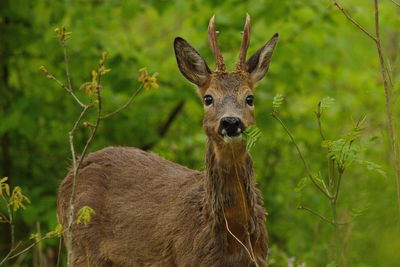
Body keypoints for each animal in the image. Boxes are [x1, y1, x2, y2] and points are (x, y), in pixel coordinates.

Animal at [57, 15, 278, 267]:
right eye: (208, 98)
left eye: (249, 98)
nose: (231, 122)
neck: (233, 240)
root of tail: (70, 173)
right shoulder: (188, 259)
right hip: (81, 246)